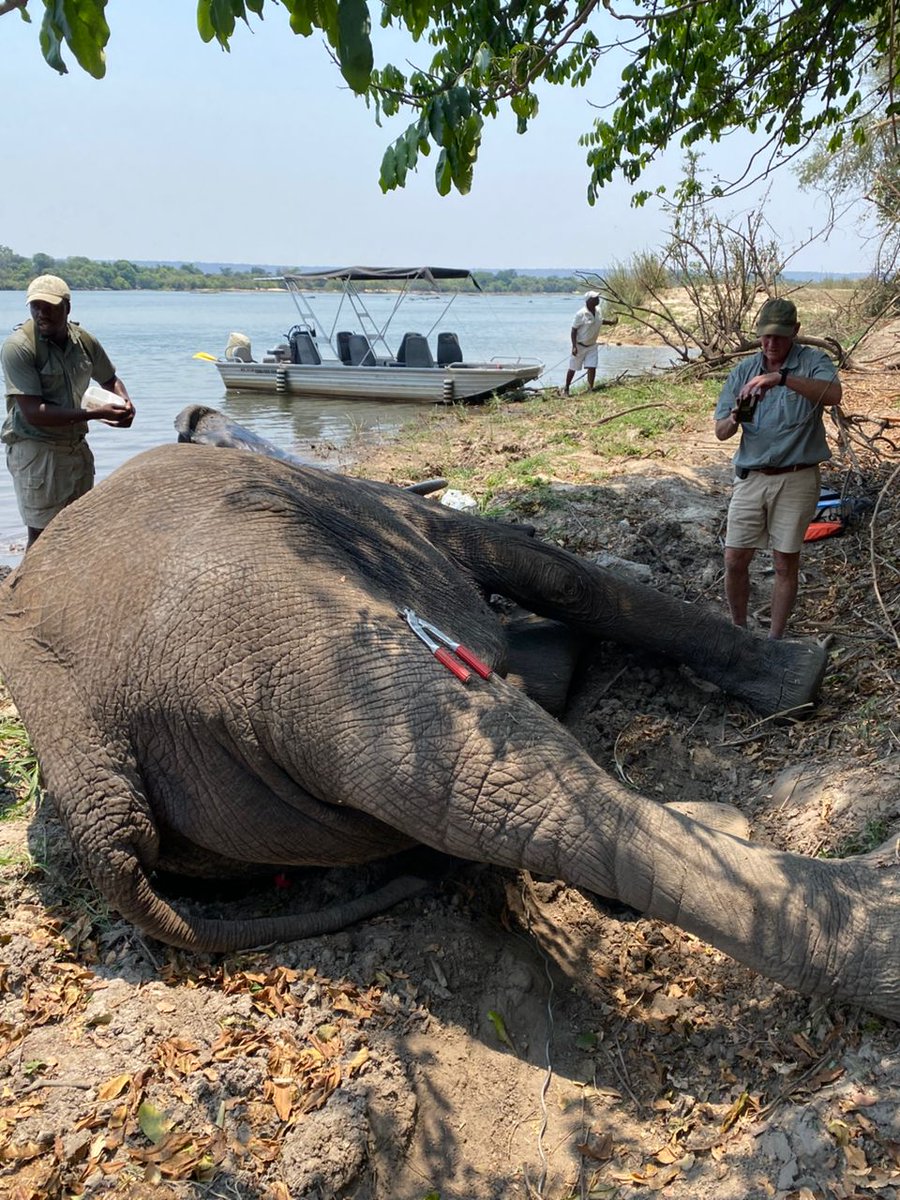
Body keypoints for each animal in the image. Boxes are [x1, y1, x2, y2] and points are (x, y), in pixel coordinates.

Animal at [0, 423, 897, 1022]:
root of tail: (88, 774)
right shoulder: (397, 520)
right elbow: (551, 572)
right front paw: (801, 676)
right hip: (280, 631)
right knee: (482, 759)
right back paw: (864, 896)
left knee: (464, 796)